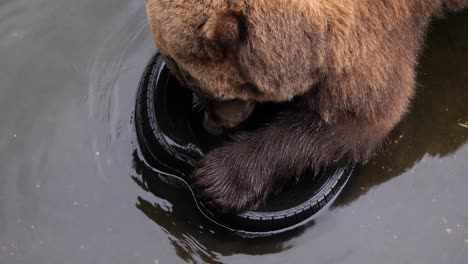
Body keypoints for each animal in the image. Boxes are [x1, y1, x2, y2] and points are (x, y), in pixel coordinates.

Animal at [145, 0, 464, 213]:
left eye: (209, 90)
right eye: (185, 80)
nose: (210, 125)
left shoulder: (373, 41)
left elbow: (355, 118)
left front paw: (216, 178)